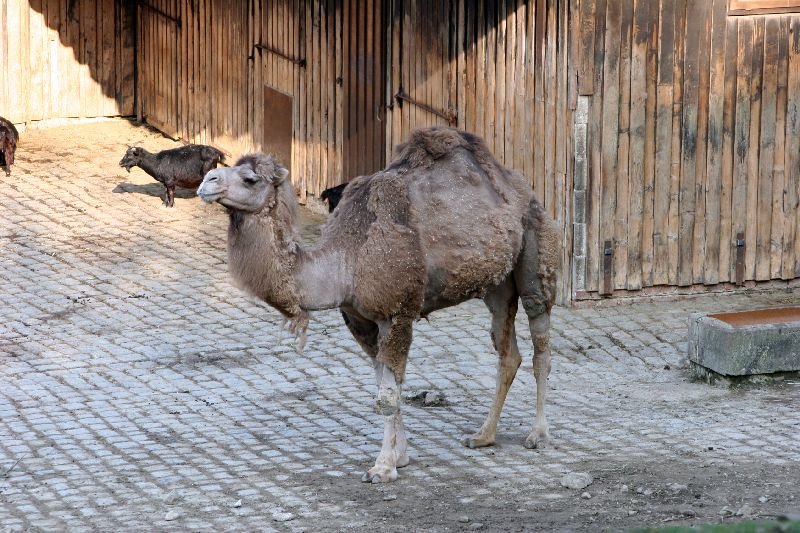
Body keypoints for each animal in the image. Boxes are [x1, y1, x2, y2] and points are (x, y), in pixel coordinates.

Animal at [198, 125, 564, 482]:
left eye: (250, 179)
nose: (207, 182)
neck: (345, 261)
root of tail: (519, 186)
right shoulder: (359, 321)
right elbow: (384, 385)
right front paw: (400, 456)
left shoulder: (396, 314)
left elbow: (387, 396)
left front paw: (384, 467)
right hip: (497, 285)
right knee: (508, 352)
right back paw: (483, 435)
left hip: (536, 250)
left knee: (540, 342)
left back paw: (538, 435)